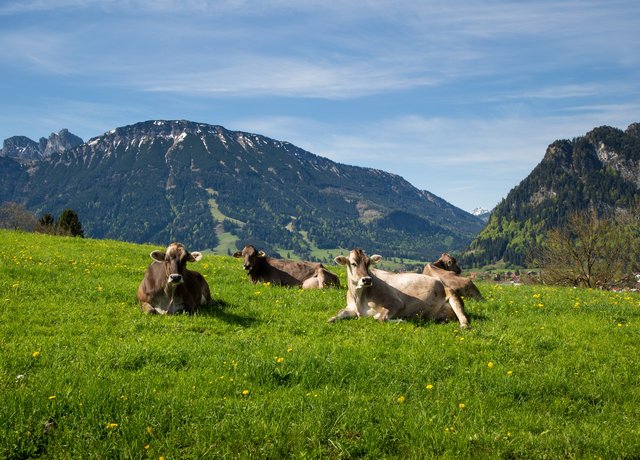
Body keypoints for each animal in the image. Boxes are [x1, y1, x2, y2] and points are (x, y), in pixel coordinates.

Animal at [330, 248, 470, 328]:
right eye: (353, 263)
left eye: (368, 263)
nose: (367, 279)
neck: (359, 298)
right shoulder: (351, 308)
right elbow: (338, 314)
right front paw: (331, 319)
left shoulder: (396, 303)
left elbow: (379, 318)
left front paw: (400, 320)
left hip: (452, 295)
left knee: (463, 318)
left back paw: (463, 325)